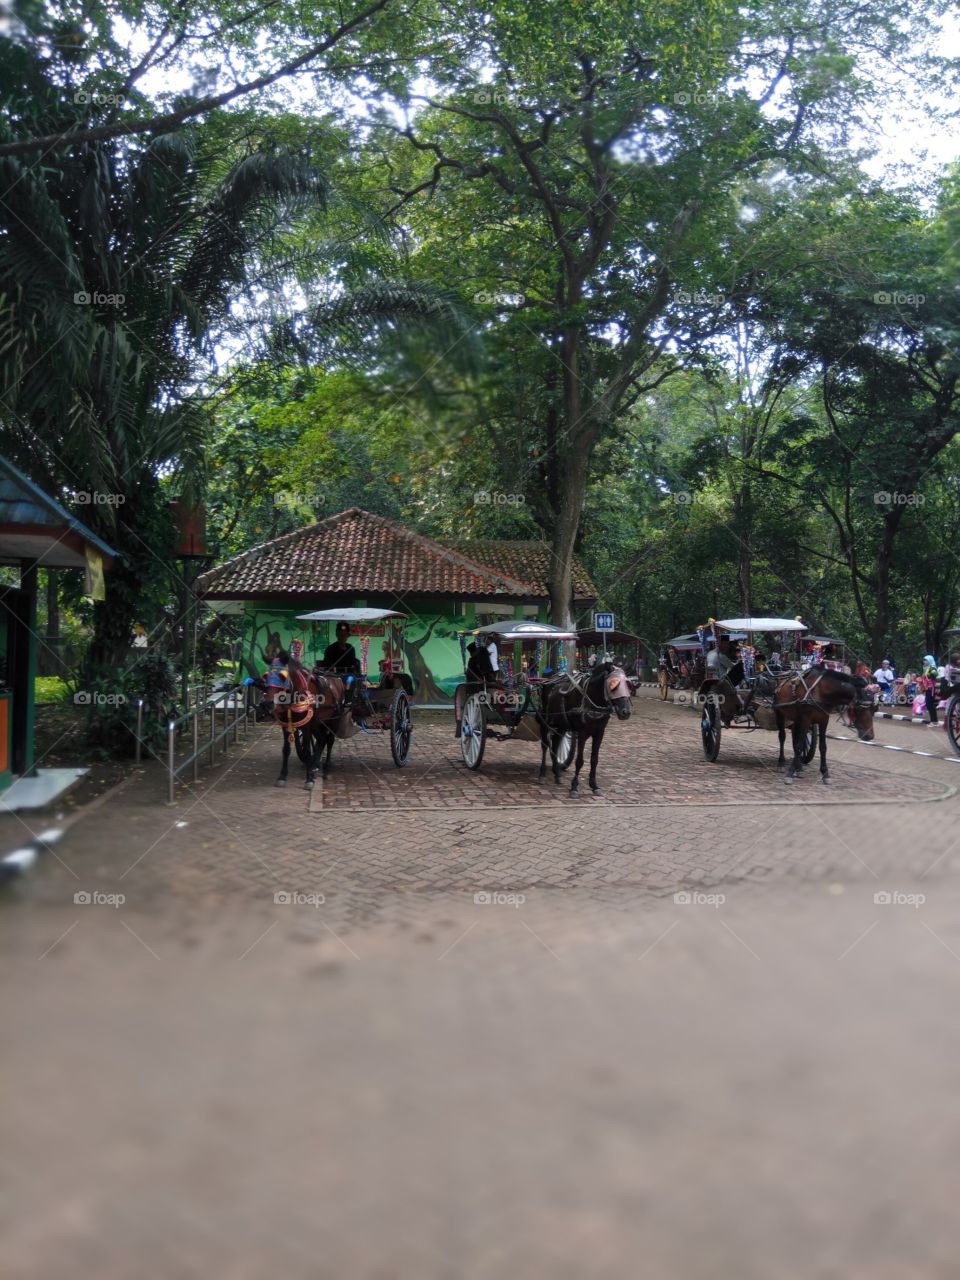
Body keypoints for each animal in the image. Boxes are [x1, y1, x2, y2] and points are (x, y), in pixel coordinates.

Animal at [537, 665, 634, 793]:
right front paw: (574, 786)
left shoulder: (599, 732)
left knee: (555, 745)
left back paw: (557, 774)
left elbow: (594, 759)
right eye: (613, 685)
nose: (625, 712)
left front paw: (594, 785)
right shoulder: (582, 732)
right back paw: (542, 774)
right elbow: (579, 761)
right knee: (545, 745)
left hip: (561, 725)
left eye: (628, 685)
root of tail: (549, 679)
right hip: (545, 721)